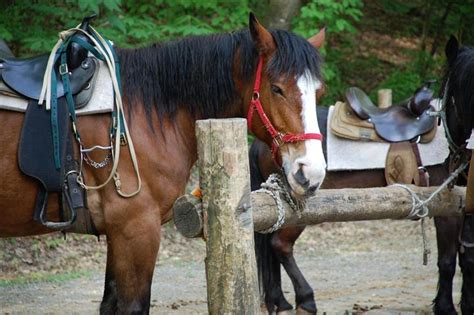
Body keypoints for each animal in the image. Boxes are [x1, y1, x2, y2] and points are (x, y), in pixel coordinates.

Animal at [0, 14, 330, 314]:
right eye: (276, 88)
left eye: (318, 92)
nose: (310, 173)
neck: (146, 114)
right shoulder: (136, 231)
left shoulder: (119, 235)